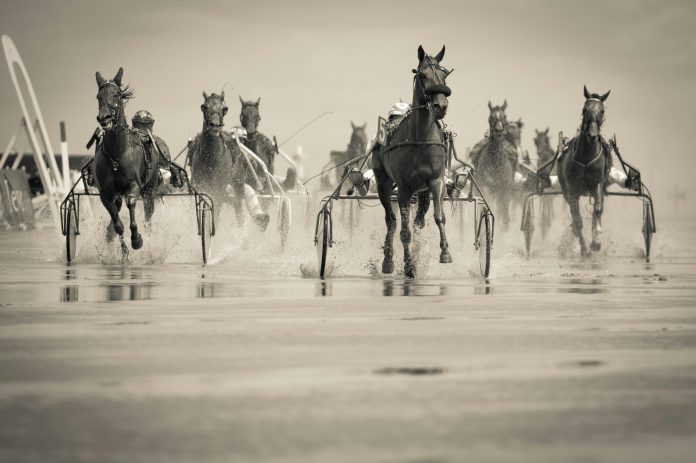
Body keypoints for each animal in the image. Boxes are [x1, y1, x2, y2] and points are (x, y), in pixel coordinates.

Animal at [94, 67, 160, 252]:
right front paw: (124, 251)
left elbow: (131, 202)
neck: (117, 154)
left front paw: (137, 239)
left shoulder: (134, 186)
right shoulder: (105, 194)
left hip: (150, 190)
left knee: (148, 216)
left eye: (116, 94)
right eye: (98, 96)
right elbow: (117, 224)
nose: (104, 118)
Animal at [372, 45, 453, 278]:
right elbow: (404, 230)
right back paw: (388, 260)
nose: (440, 105)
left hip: (422, 190)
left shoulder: (436, 181)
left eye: (444, 74)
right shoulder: (404, 189)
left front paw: (445, 252)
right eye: (423, 75)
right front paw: (408, 266)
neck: (421, 138)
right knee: (391, 220)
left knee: (419, 218)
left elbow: (439, 216)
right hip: (383, 183)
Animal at [558, 86, 612, 256]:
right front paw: (584, 248)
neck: (587, 158)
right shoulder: (572, 189)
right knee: (575, 215)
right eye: (585, 109)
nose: (593, 134)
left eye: (602, 110)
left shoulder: (598, 183)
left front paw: (596, 242)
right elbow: (577, 219)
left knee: (597, 210)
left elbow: (598, 209)